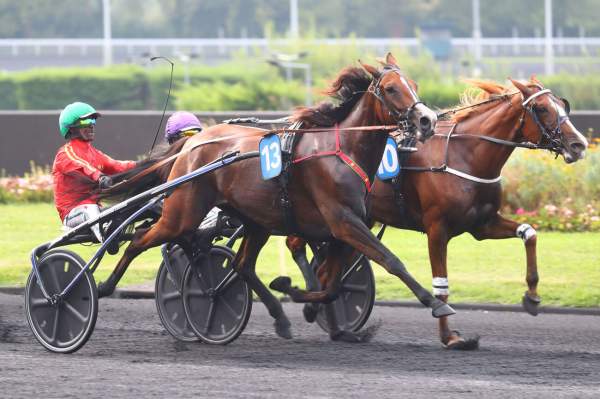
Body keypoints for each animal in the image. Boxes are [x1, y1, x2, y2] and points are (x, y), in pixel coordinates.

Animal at [95, 52, 450, 340]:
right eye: (390, 88)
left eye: (413, 84)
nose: (427, 120)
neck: (342, 150)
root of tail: (194, 142)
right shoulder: (344, 222)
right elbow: (390, 260)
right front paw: (434, 302)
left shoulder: (343, 228)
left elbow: (332, 285)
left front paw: (299, 297)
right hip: (183, 212)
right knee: (139, 239)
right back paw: (103, 286)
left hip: (256, 220)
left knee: (241, 265)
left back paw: (280, 318)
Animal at [288, 76, 588, 350]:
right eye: (541, 108)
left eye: (562, 104)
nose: (579, 145)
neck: (464, 154)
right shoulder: (437, 229)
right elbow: (440, 284)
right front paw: (450, 336)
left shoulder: (483, 225)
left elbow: (530, 233)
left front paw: (532, 297)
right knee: (298, 245)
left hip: (356, 222)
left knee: (323, 268)